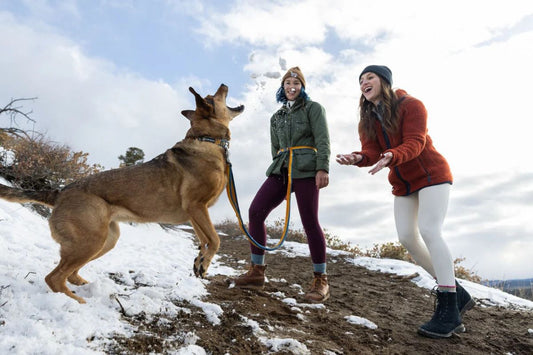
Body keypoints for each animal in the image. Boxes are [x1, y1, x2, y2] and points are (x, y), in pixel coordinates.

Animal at [0, 83, 244, 304]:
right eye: (213, 97)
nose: (224, 84)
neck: (206, 139)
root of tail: (59, 193)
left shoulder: (195, 213)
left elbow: (204, 239)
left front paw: (200, 262)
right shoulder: (196, 206)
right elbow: (215, 240)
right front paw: (205, 261)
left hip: (106, 239)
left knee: (68, 273)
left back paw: (82, 285)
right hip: (91, 241)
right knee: (54, 278)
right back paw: (76, 301)